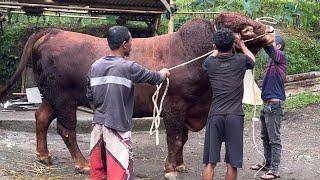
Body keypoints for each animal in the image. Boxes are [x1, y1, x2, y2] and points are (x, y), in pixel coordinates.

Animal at [0, 12, 276, 179]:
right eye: (245, 29)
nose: (272, 31)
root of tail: (53, 32)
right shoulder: (174, 107)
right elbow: (175, 139)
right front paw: (170, 169)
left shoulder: (190, 109)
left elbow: (183, 139)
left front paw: (180, 164)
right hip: (64, 99)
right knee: (66, 129)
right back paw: (82, 163)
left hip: (51, 96)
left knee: (41, 118)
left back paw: (44, 155)